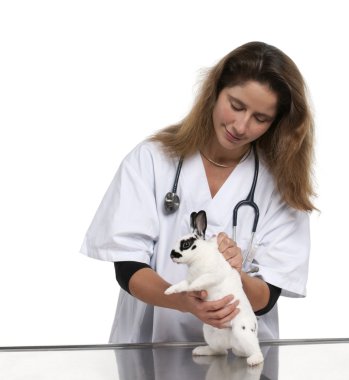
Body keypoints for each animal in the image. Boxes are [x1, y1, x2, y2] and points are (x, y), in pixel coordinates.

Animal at [164, 209, 262, 366]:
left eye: (186, 244)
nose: (172, 255)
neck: (198, 257)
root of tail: (232, 344)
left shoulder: (213, 275)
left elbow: (200, 281)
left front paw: (192, 288)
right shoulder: (188, 279)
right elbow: (181, 285)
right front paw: (168, 291)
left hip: (243, 332)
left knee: (256, 351)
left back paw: (253, 360)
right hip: (210, 333)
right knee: (220, 351)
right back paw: (200, 351)